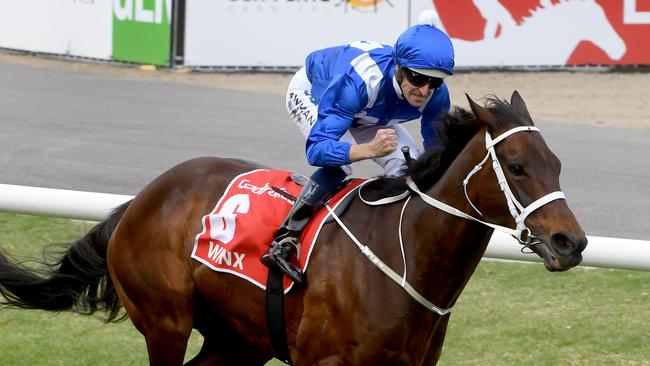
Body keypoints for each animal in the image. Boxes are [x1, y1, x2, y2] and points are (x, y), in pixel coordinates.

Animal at [0, 91, 584, 364]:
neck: (404, 261)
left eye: (557, 164)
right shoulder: (321, 361)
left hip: (239, 340)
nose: (571, 241)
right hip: (165, 322)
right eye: (517, 166)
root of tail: (140, 200)